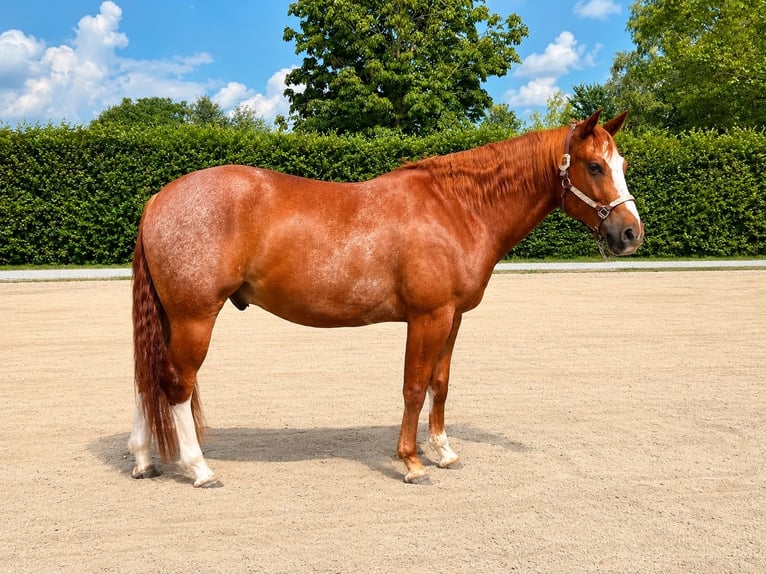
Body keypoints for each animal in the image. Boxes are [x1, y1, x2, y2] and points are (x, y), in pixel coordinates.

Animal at [128, 109, 643, 487]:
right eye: (594, 166)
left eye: (621, 166)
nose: (631, 234)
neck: (455, 208)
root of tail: (157, 200)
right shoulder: (428, 317)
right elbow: (414, 387)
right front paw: (412, 463)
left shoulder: (452, 318)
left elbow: (440, 384)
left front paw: (444, 452)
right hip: (195, 317)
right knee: (176, 383)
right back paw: (199, 469)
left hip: (173, 319)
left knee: (147, 379)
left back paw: (143, 460)